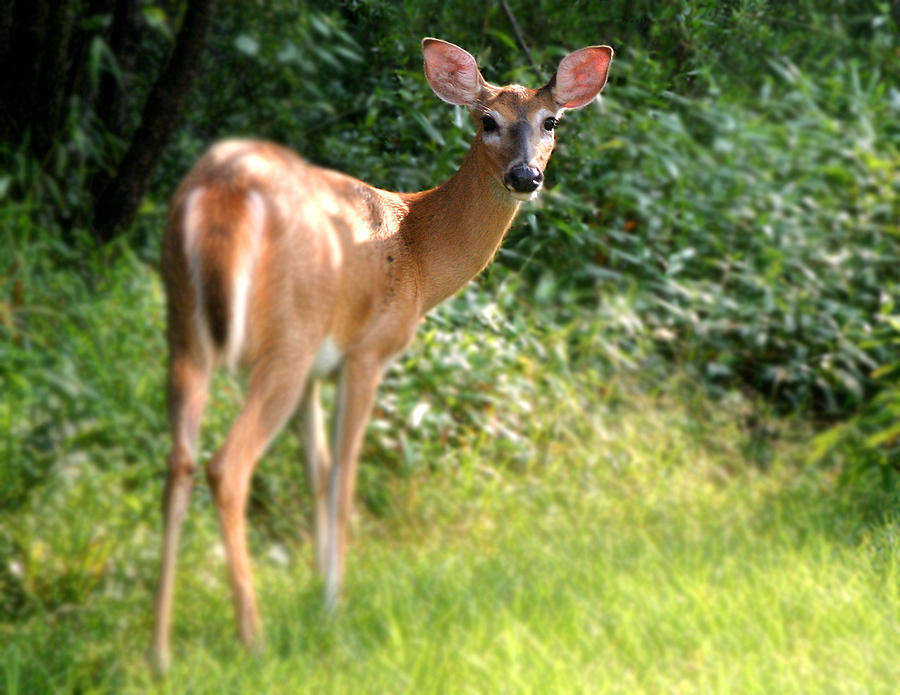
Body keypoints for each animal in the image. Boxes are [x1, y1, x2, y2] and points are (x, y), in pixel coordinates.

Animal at [151, 35, 612, 672]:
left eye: (551, 121)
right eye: (488, 121)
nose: (526, 175)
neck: (418, 247)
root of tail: (222, 190)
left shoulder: (318, 370)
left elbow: (317, 471)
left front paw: (316, 587)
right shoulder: (366, 351)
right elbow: (344, 477)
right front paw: (331, 603)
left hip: (186, 330)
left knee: (178, 462)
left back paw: (160, 651)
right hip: (286, 339)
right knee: (227, 465)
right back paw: (252, 638)